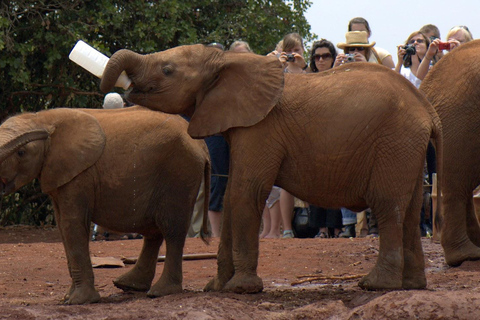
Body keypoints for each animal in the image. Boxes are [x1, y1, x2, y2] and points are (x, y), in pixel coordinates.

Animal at [0, 106, 210, 304]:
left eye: (21, 153)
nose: (43, 133)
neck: (41, 118)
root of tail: (202, 146)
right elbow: (62, 227)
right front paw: (67, 298)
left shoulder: (80, 175)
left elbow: (72, 225)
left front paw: (79, 301)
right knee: (154, 231)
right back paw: (129, 285)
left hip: (180, 172)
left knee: (172, 229)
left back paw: (160, 291)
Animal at [100, 44, 442, 292]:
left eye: (167, 70)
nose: (120, 91)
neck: (226, 60)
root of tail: (427, 108)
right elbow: (231, 196)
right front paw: (217, 287)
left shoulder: (261, 128)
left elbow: (246, 192)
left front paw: (240, 289)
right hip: (406, 147)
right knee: (410, 208)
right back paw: (413, 285)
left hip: (395, 141)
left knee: (387, 205)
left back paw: (375, 285)